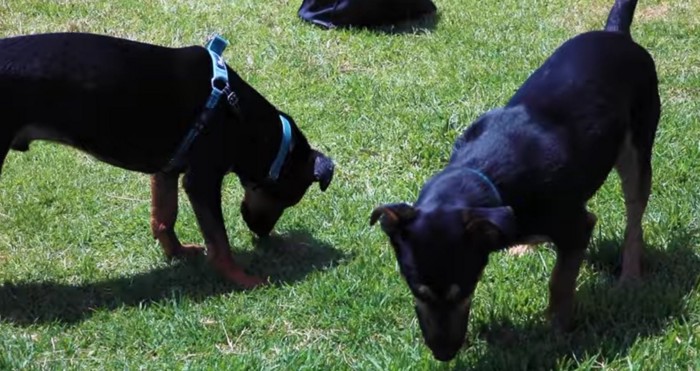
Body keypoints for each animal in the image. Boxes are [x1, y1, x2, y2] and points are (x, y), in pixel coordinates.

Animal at [0, 33, 334, 290]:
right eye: (287, 200)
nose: (262, 233)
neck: (239, 114)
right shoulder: (201, 182)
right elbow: (220, 243)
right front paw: (244, 279)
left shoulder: (167, 171)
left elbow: (164, 218)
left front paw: (178, 253)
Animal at [372, 0, 656, 360]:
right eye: (417, 291)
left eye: (463, 290)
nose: (444, 354)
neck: (483, 176)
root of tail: (616, 33)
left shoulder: (577, 226)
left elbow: (559, 283)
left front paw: (556, 333)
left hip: (638, 148)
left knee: (634, 218)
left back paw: (630, 277)